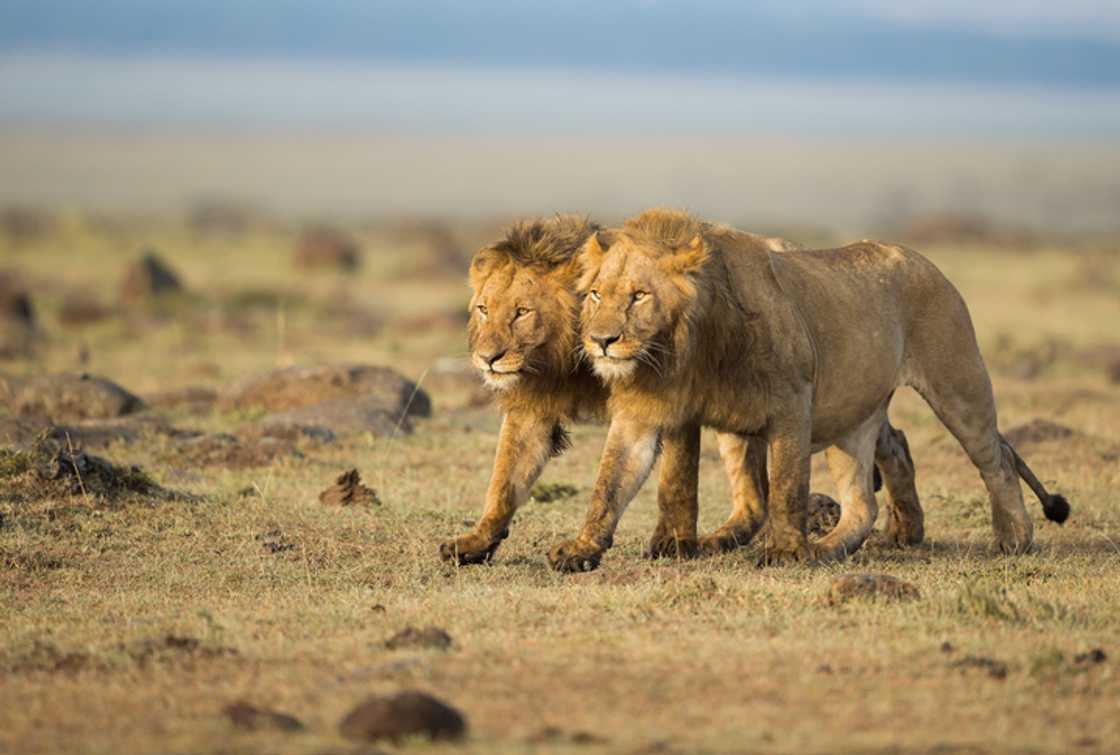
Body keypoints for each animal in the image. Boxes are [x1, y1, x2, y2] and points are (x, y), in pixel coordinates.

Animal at [441, 215, 922, 562]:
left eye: (522, 312)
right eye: (483, 309)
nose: (487, 358)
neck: (572, 359)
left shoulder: (672, 398)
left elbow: (675, 478)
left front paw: (670, 545)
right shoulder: (535, 410)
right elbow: (505, 480)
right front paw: (476, 542)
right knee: (885, 439)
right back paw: (906, 528)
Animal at [546, 207, 1070, 571]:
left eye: (639, 296)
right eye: (595, 294)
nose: (601, 341)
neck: (682, 351)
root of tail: (922, 258)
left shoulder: (792, 405)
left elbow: (786, 486)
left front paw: (782, 551)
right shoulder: (648, 411)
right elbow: (619, 483)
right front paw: (583, 549)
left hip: (956, 382)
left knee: (995, 459)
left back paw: (1013, 537)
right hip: (848, 417)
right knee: (861, 497)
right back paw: (840, 544)